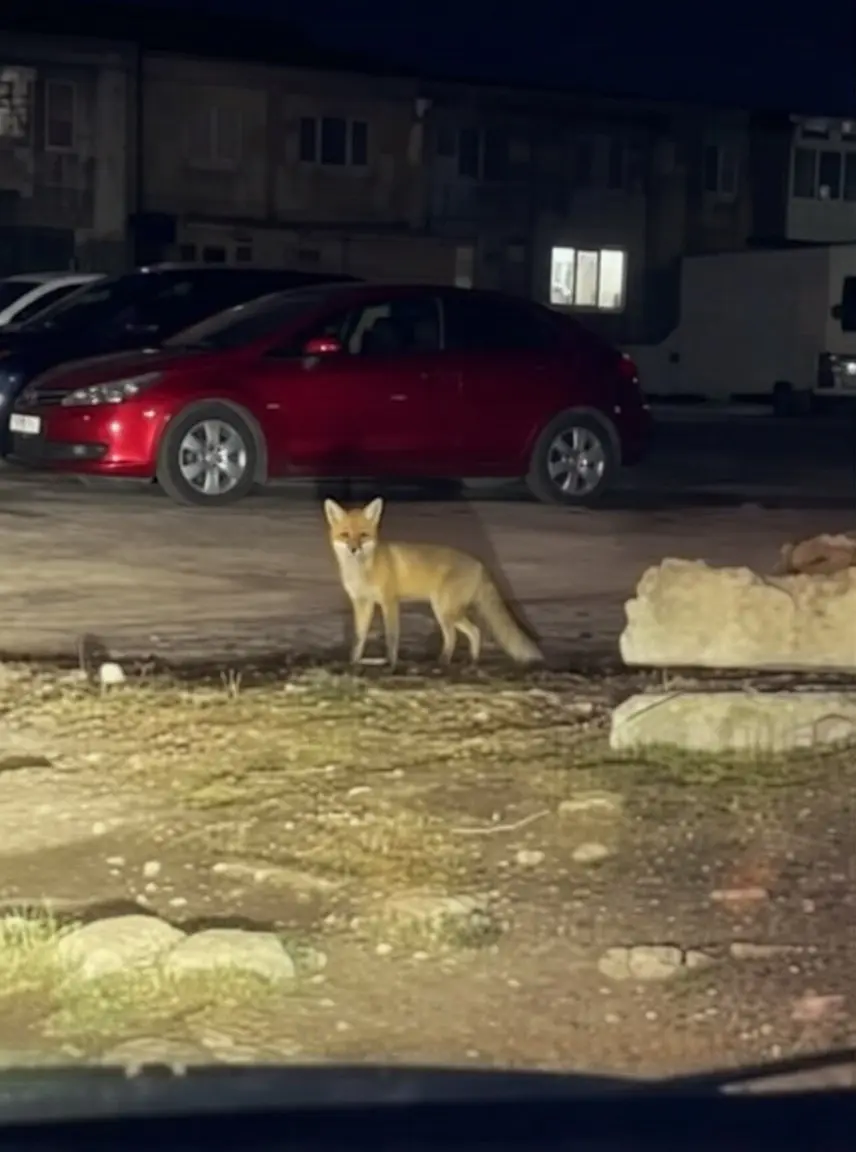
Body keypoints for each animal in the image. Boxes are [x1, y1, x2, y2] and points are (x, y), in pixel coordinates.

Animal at [323, 496, 544, 669]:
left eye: (363, 535)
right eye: (345, 534)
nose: (353, 549)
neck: (363, 570)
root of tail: (479, 563)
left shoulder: (389, 602)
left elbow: (392, 636)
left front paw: (391, 664)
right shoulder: (362, 603)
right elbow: (358, 637)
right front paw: (353, 662)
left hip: (443, 610)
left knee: (455, 636)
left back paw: (443, 663)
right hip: (448, 612)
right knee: (475, 632)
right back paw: (472, 661)